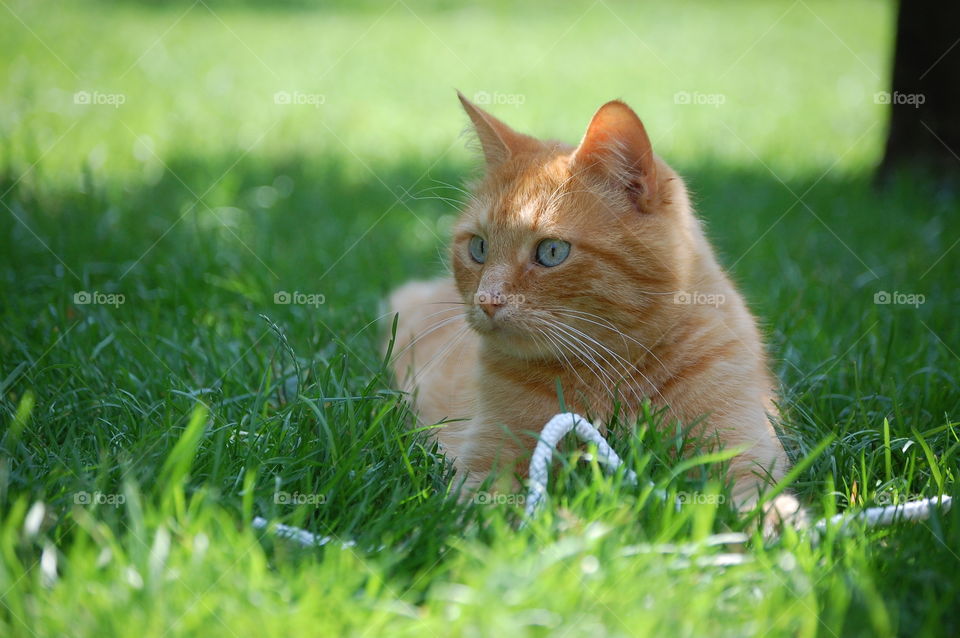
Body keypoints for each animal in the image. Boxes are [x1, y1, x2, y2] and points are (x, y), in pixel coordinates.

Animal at [386, 91, 800, 528]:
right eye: (478, 247)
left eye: (552, 251)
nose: (487, 299)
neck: (613, 374)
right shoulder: (485, 466)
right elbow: (500, 514)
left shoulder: (742, 450)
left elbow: (756, 497)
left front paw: (779, 526)